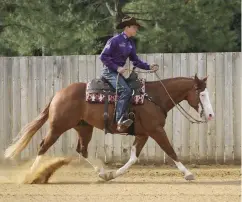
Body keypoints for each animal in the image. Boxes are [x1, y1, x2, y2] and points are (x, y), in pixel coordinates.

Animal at [4, 70, 215, 181]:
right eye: (202, 94)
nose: (211, 115)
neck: (154, 97)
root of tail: (58, 94)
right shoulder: (156, 131)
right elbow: (170, 151)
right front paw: (188, 173)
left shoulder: (143, 134)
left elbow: (133, 158)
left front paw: (114, 174)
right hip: (57, 127)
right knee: (43, 146)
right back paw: (31, 175)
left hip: (84, 128)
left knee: (82, 150)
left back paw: (102, 173)